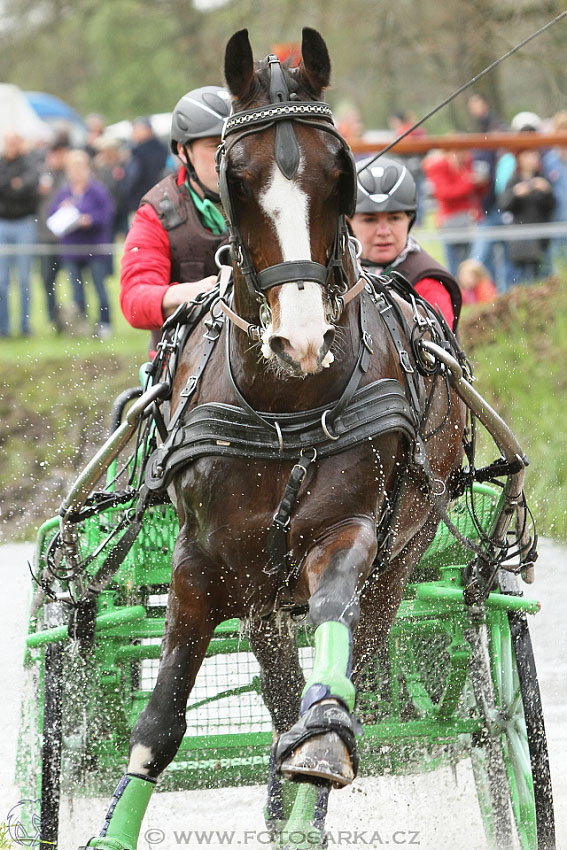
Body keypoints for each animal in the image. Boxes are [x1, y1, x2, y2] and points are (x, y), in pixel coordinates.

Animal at [83, 23, 466, 848]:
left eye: (340, 172)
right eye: (235, 176)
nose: (302, 338)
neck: (283, 406)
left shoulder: (348, 533)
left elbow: (332, 645)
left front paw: (319, 748)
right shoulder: (200, 560)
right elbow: (160, 718)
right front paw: (112, 829)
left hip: (396, 557)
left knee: (344, 652)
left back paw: (300, 797)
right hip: (259, 581)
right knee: (273, 673)